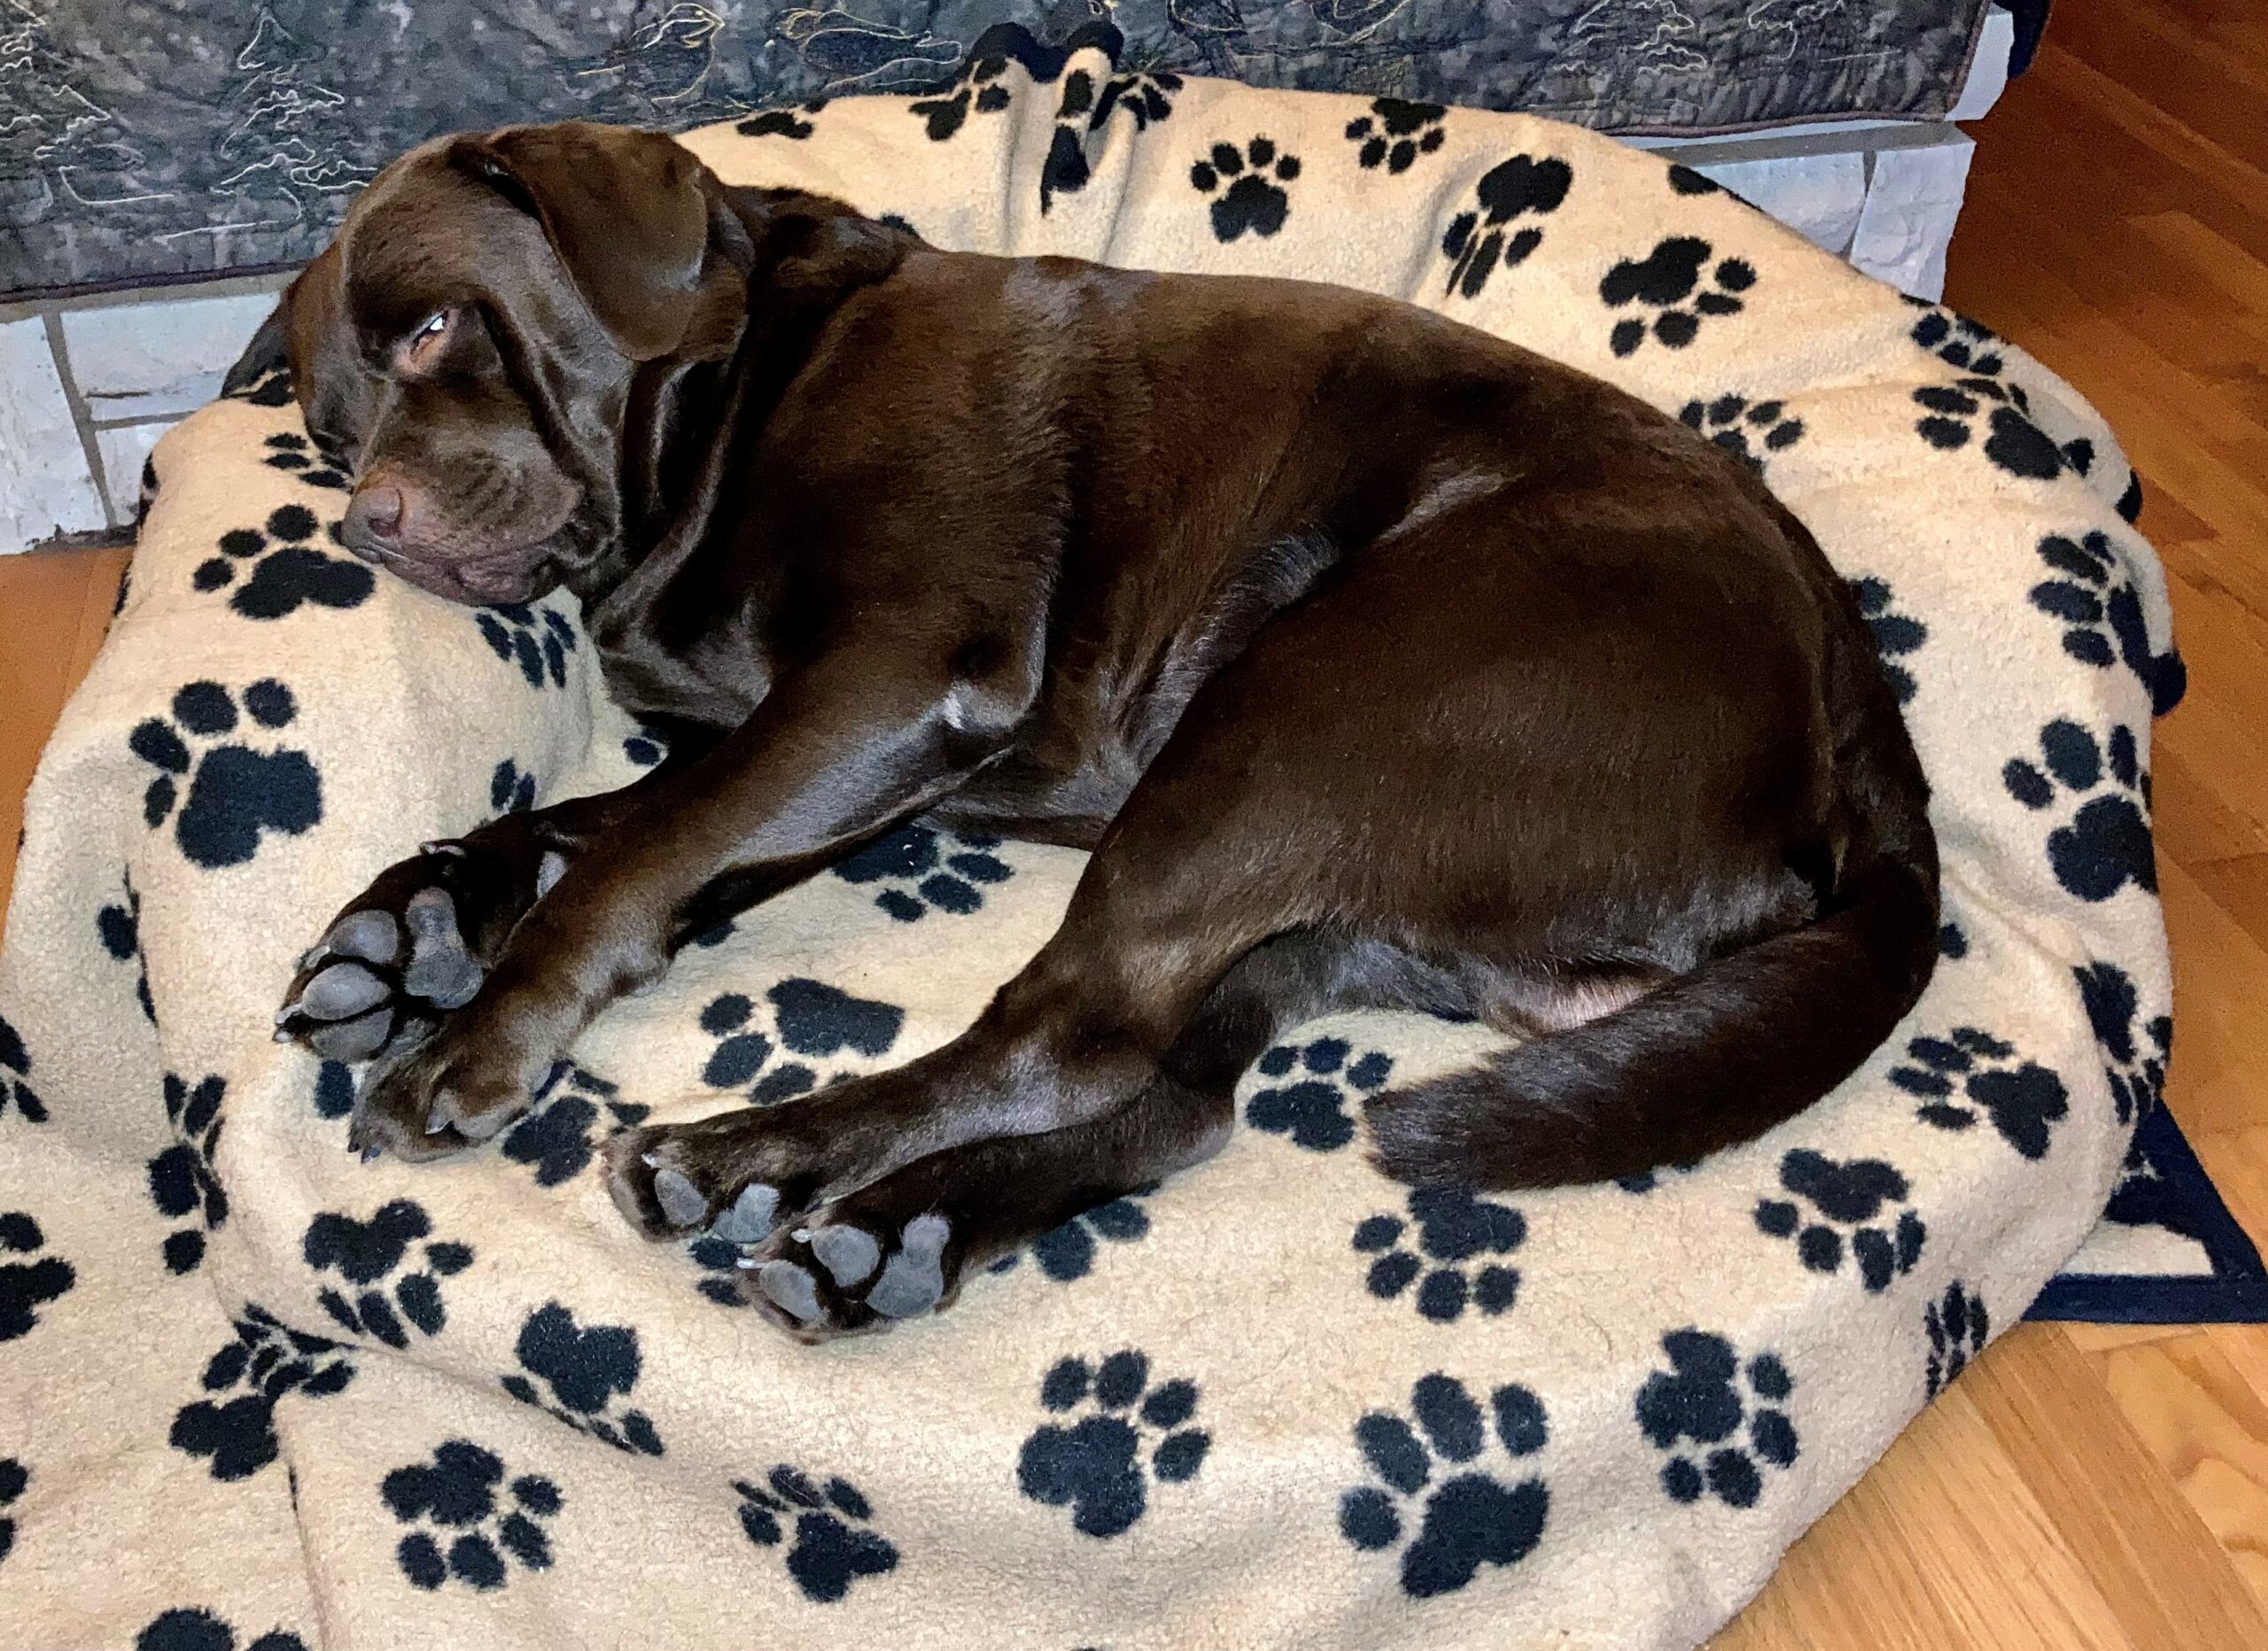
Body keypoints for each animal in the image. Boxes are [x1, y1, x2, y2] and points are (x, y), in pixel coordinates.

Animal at [239, 126, 1941, 1342]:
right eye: (326, 426)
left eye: (438, 329)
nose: (366, 522)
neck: (736, 401)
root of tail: (1853, 701)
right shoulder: (837, 761)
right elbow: (607, 838)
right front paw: (412, 926)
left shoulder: (892, 683)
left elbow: (625, 857)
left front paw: (473, 1039)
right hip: (1313, 896)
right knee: (1175, 1098)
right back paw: (895, 1234)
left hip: (1285, 732)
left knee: (1067, 1036)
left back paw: (752, 1159)